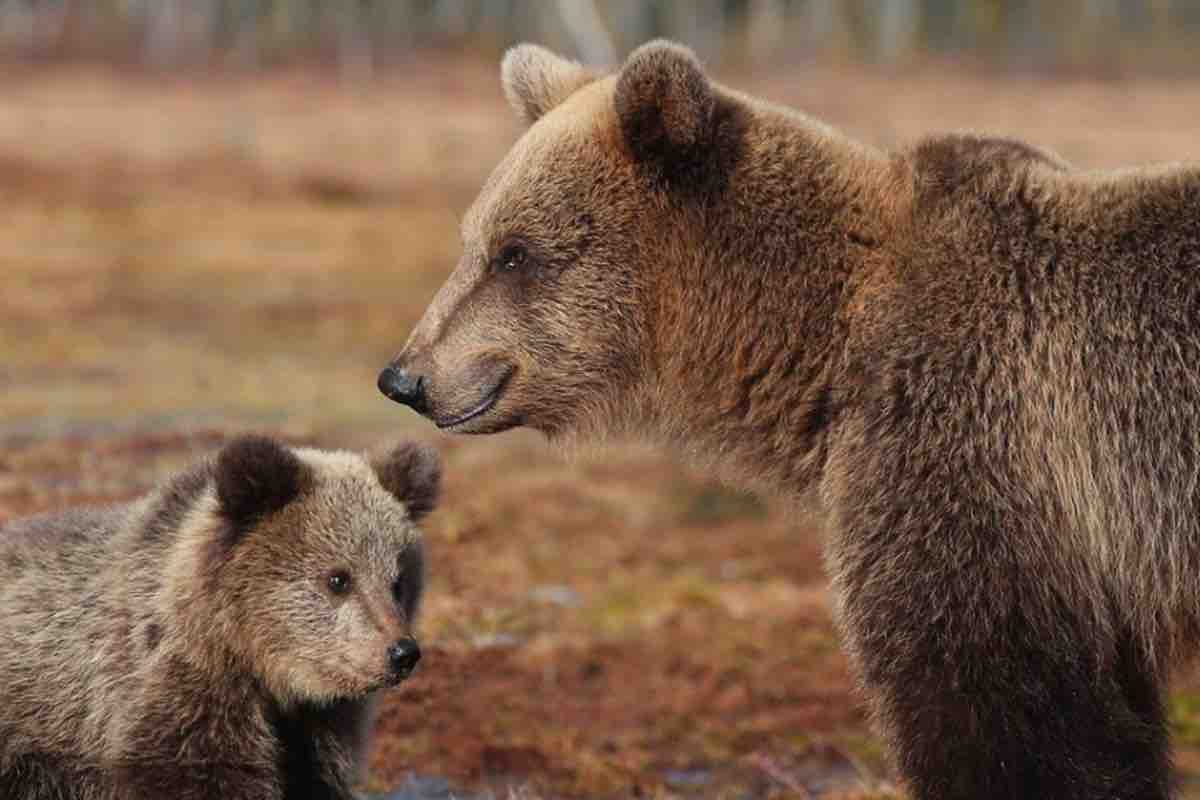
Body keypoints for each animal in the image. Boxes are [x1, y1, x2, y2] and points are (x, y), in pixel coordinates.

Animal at [376, 40, 1200, 796]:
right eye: (473, 240)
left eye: (515, 254)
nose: (405, 376)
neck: (823, 342)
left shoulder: (972, 437)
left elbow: (999, 706)